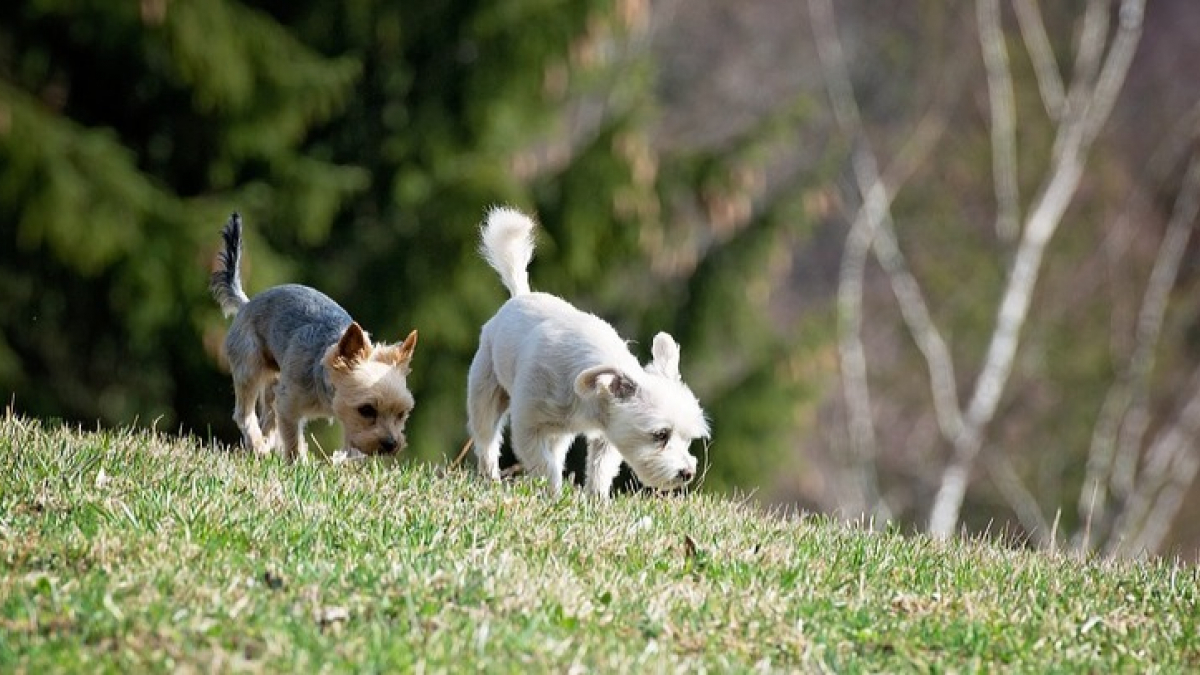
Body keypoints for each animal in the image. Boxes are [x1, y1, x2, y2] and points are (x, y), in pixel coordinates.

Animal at [213, 212, 420, 458]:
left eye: (401, 414)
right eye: (367, 409)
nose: (391, 444)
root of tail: (246, 303)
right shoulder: (289, 403)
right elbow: (292, 438)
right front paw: (297, 461)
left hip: (274, 378)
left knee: (268, 415)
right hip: (249, 364)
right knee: (244, 412)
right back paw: (258, 446)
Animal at [463, 205, 705, 494]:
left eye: (688, 438)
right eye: (661, 435)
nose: (688, 473)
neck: (586, 401)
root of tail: (520, 294)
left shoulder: (607, 434)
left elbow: (599, 469)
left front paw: (595, 499)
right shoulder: (528, 425)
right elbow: (545, 466)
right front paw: (554, 496)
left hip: (558, 431)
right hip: (485, 390)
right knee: (486, 437)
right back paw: (490, 478)